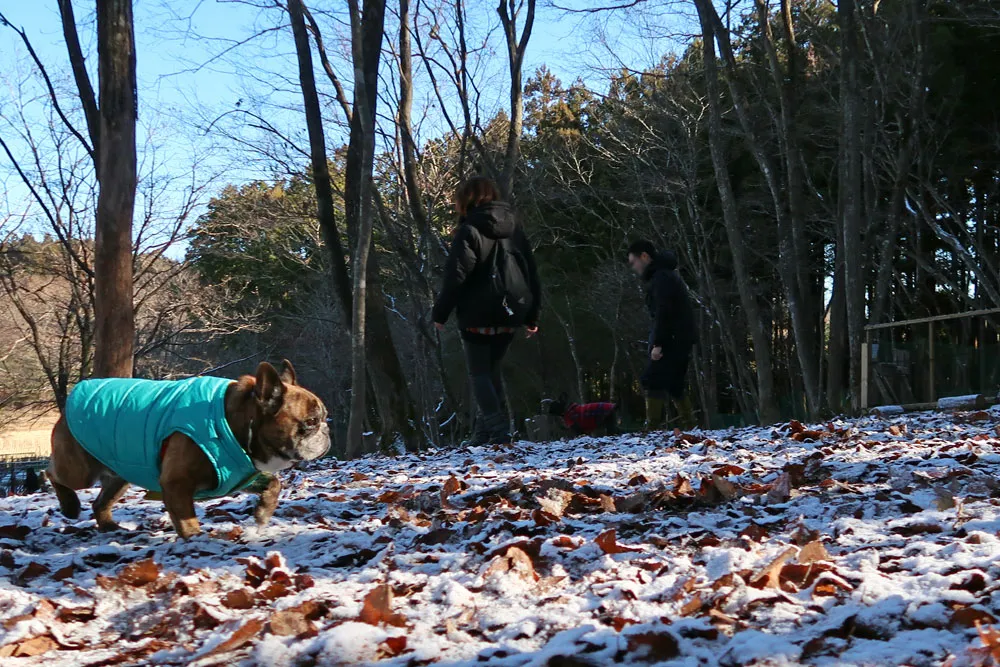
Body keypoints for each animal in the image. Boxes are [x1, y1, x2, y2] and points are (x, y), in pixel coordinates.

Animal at [47, 360, 330, 536]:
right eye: (310, 422)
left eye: (323, 418)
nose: (327, 431)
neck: (236, 422)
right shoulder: (177, 483)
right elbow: (186, 518)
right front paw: (196, 539)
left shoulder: (238, 475)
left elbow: (274, 483)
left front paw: (262, 514)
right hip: (80, 470)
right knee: (51, 473)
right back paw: (69, 505)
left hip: (120, 473)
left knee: (100, 501)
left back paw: (108, 526)